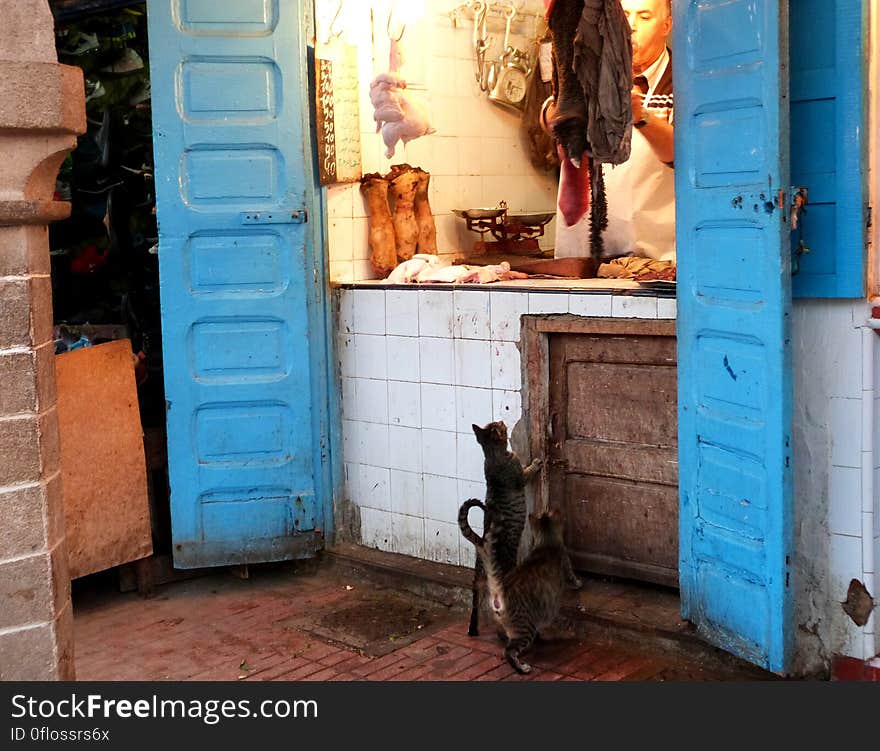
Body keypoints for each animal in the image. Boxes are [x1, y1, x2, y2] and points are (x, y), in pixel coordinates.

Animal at [460, 502, 572, 672]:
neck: (546, 544)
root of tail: (499, 592)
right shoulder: (566, 563)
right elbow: (573, 579)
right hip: (525, 627)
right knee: (509, 651)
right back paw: (522, 667)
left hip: (502, 621)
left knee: (503, 636)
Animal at [464, 420, 540, 636]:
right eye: (498, 425)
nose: (502, 420)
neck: (491, 455)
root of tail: (482, 544)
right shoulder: (519, 476)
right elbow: (526, 471)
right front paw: (535, 464)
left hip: (476, 581)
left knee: (476, 604)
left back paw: (473, 628)